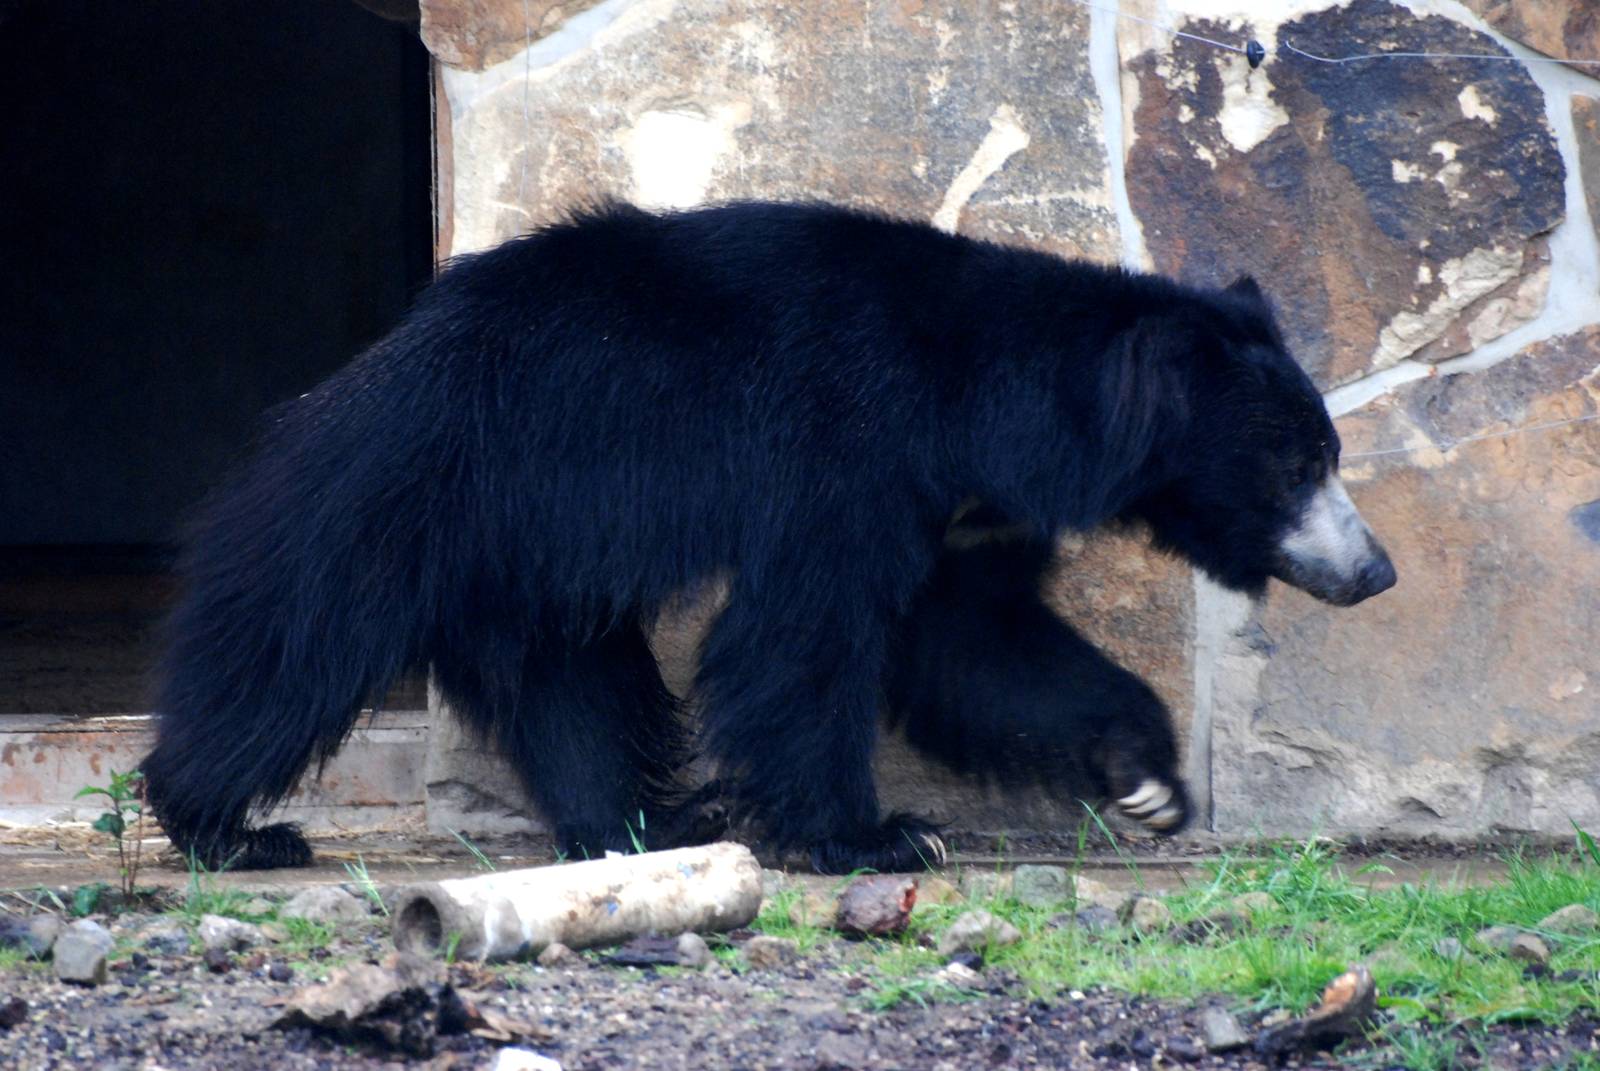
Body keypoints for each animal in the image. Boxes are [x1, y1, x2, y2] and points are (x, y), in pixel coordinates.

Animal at [140, 200, 1396, 874]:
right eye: (1297, 466)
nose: (1375, 573)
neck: (980, 409)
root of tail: (376, 356)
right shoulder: (843, 452)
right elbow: (803, 640)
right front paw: (876, 837)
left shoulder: (956, 516)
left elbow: (975, 642)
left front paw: (1143, 779)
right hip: (412, 485)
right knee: (291, 644)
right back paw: (224, 827)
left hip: (529, 554)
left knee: (570, 687)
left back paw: (645, 822)